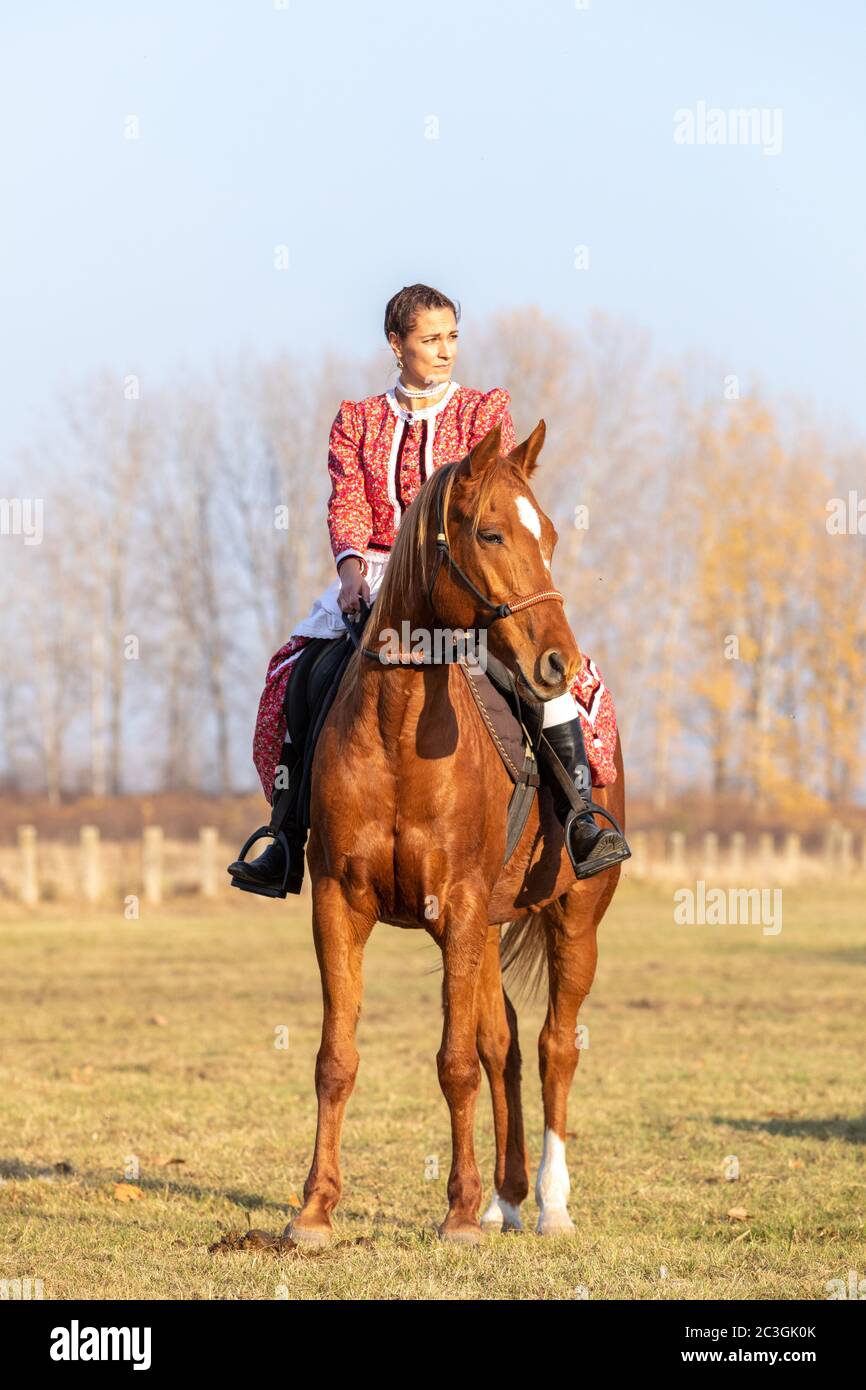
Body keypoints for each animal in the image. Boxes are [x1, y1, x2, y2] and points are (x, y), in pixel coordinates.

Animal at [289, 417, 622, 1245]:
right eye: (492, 532)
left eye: (552, 535)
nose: (557, 661)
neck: (399, 731)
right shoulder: (338, 905)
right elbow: (337, 1057)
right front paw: (314, 1210)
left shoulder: (462, 910)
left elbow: (455, 1062)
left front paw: (460, 1214)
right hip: (491, 930)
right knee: (506, 1045)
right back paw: (508, 1199)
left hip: (575, 921)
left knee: (554, 1046)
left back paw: (550, 1205)